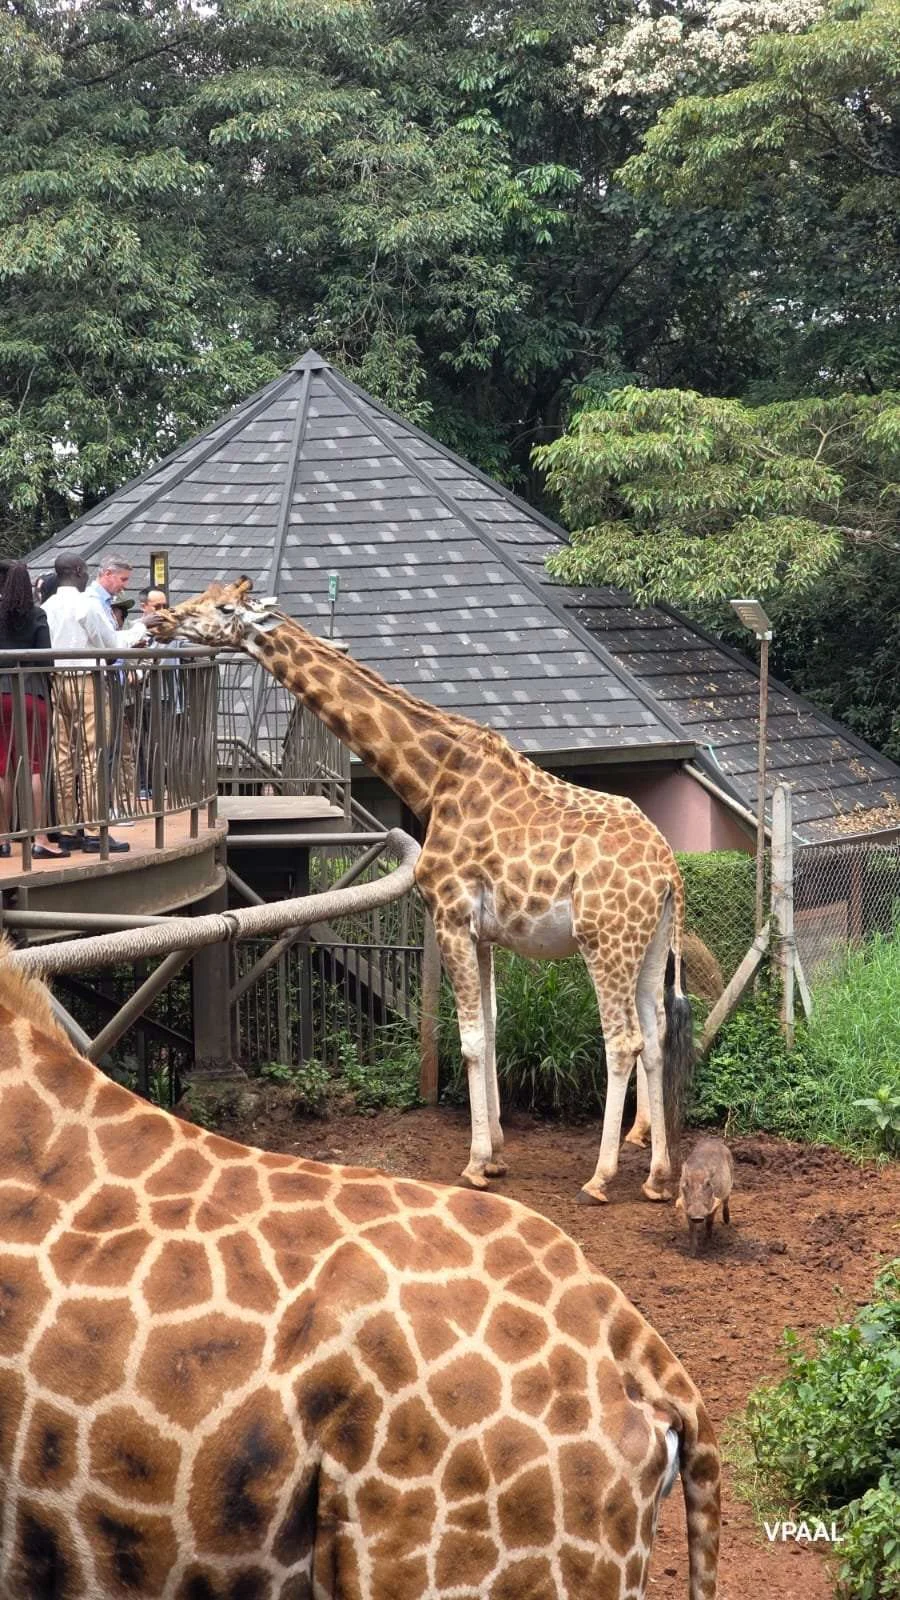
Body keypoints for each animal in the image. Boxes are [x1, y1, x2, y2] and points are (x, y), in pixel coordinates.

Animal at [150, 579, 694, 1204]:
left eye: (222, 607)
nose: (160, 620)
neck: (432, 778)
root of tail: (669, 870)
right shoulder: (484, 932)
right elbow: (493, 1027)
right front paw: (497, 1153)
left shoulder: (450, 914)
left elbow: (470, 1039)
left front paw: (476, 1164)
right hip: (650, 946)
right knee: (655, 1037)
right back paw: (657, 1178)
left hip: (604, 941)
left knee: (623, 1042)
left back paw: (600, 1178)